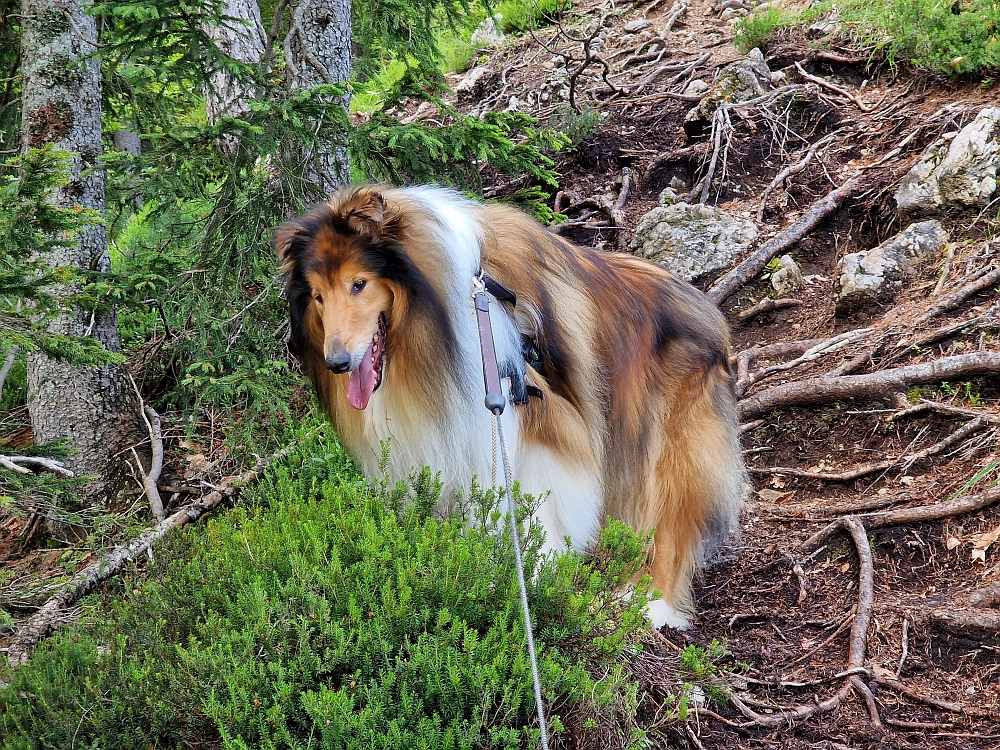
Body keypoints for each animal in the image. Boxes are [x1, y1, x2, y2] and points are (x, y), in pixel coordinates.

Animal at [278, 184, 748, 628]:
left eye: (358, 284)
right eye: (318, 296)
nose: (337, 363)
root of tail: (710, 315)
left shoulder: (540, 419)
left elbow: (535, 503)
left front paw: (534, 574)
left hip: (666, 447)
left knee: (672, 526)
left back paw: (651, 603)